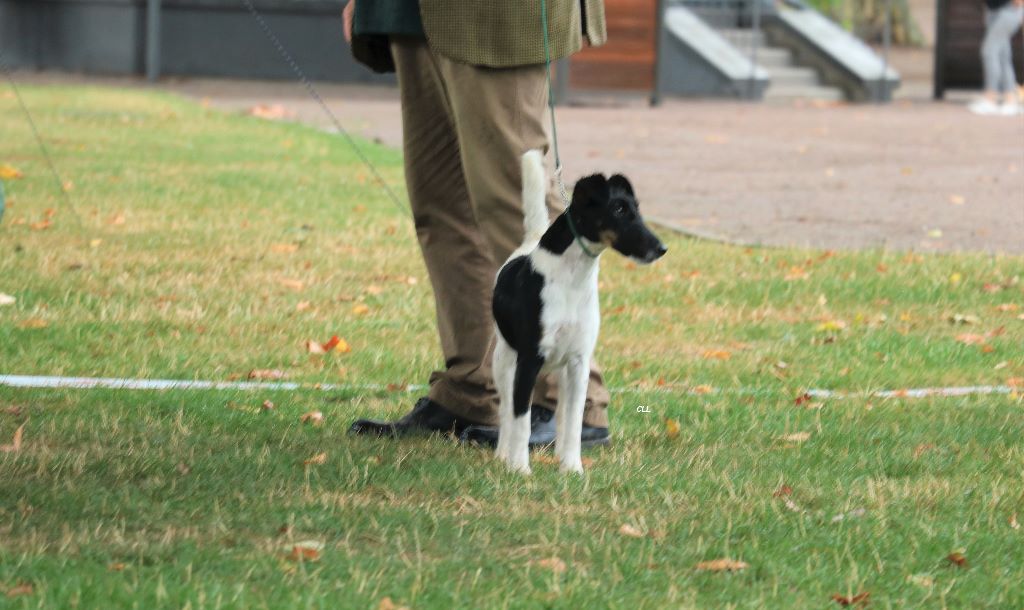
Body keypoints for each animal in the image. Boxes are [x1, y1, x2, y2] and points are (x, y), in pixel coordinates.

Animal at [491, 150, 667, 474]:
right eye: (618, 209)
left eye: (636, 209)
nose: (661, 248)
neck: (570, 282)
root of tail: (529, 240)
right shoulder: (529, 361)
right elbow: (521, 420)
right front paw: (520, 469)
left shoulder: (578, 362)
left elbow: (573, 422)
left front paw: (572, 468)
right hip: (504, 361)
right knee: (506, 412)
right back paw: (503, 454)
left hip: (561, 372)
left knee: (560, 415)